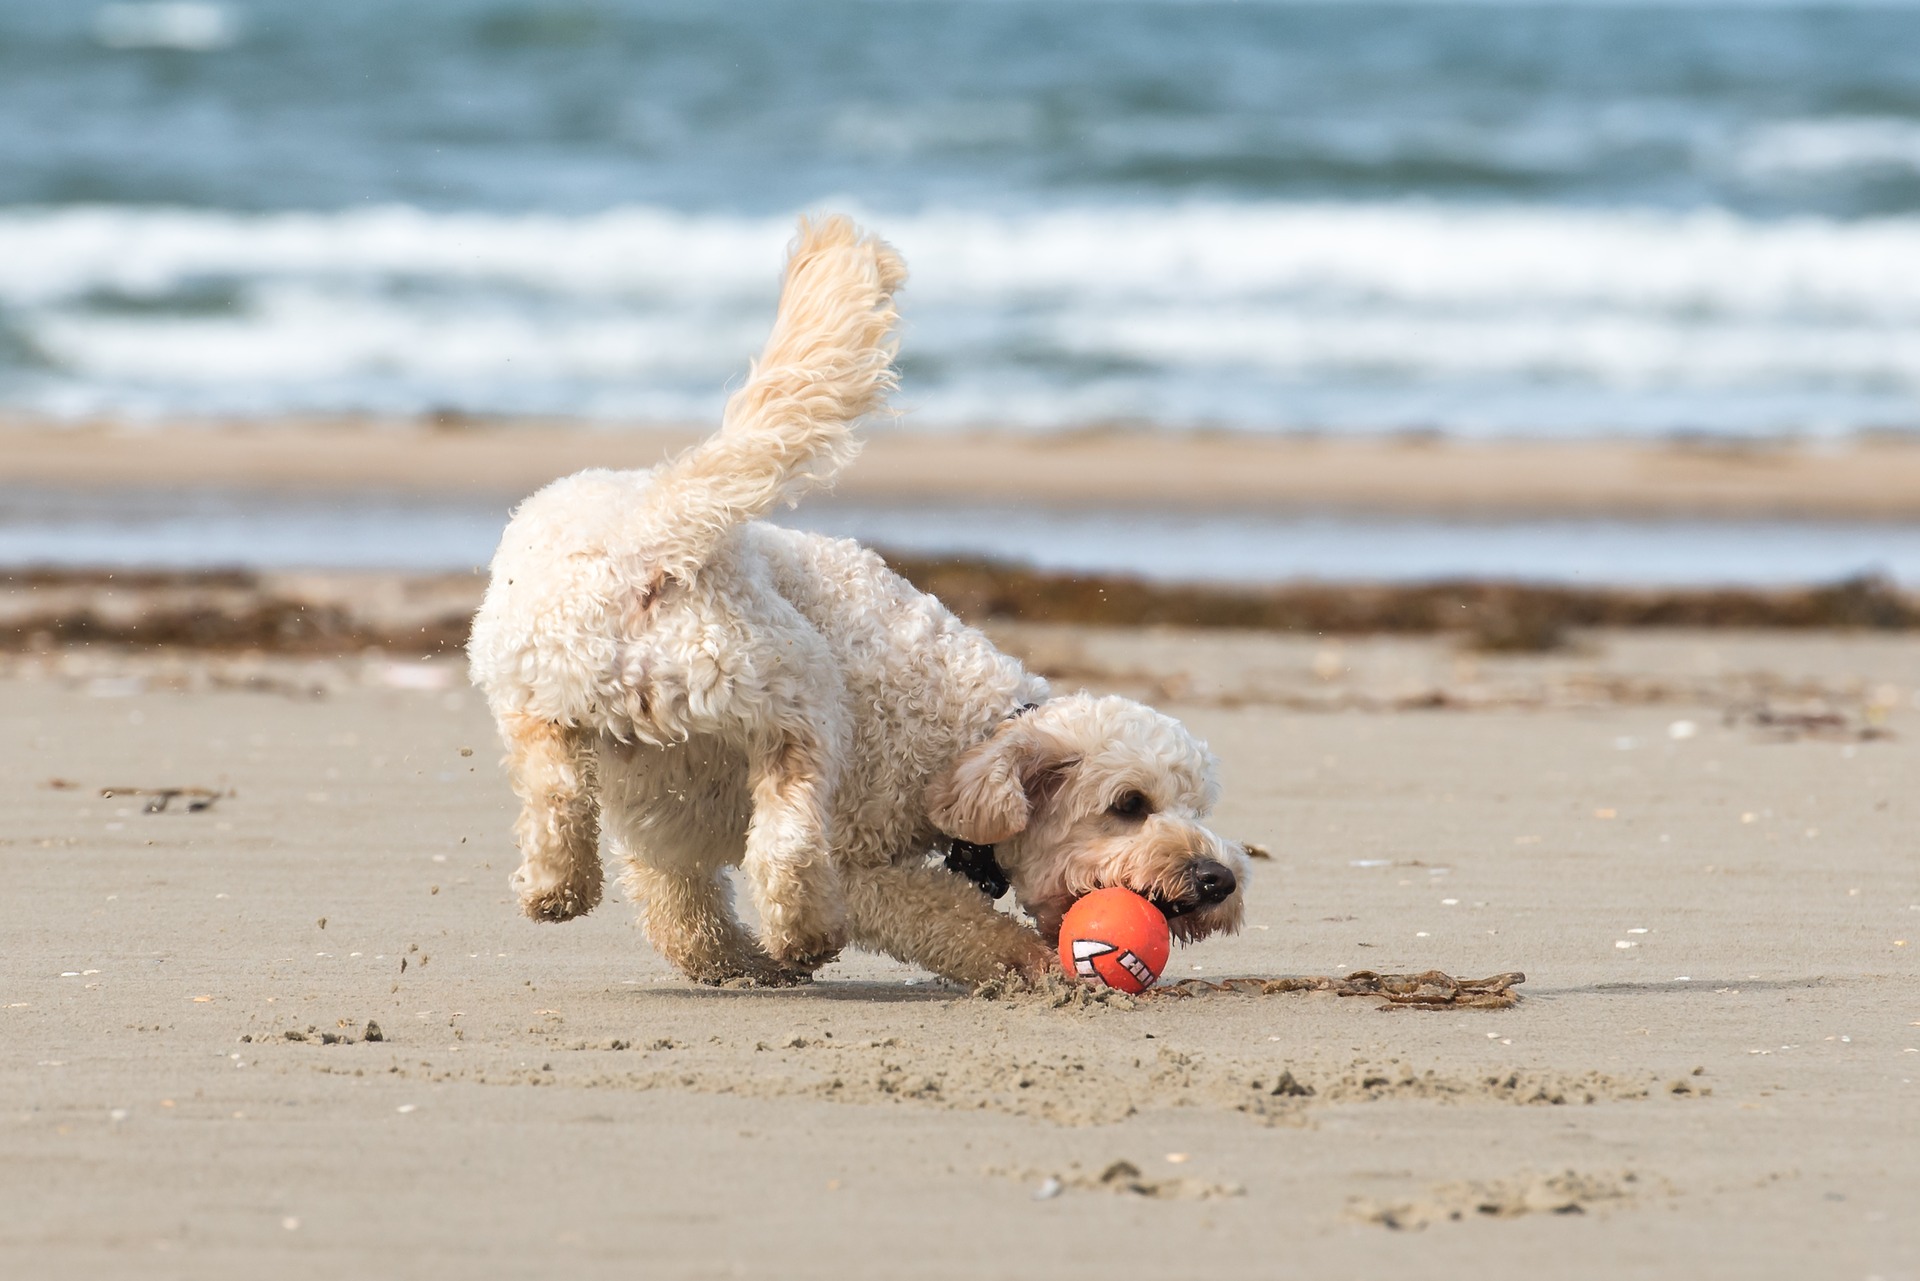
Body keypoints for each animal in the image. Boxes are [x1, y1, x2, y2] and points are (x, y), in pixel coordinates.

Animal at [464, 215, 1244, 990]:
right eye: (1129, 806)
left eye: (1197, 805)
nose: (1218, 879)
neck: (969, 736)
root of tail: (651, 534)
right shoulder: (862, 856)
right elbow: (953, 920)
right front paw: (1031, 963)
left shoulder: (662, 822)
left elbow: (682, 913)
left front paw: (736, 964)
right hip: (797, 691)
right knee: (787, 836)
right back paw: (803, 931)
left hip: (543, 691)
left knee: (565, 791)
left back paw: (562, 887)